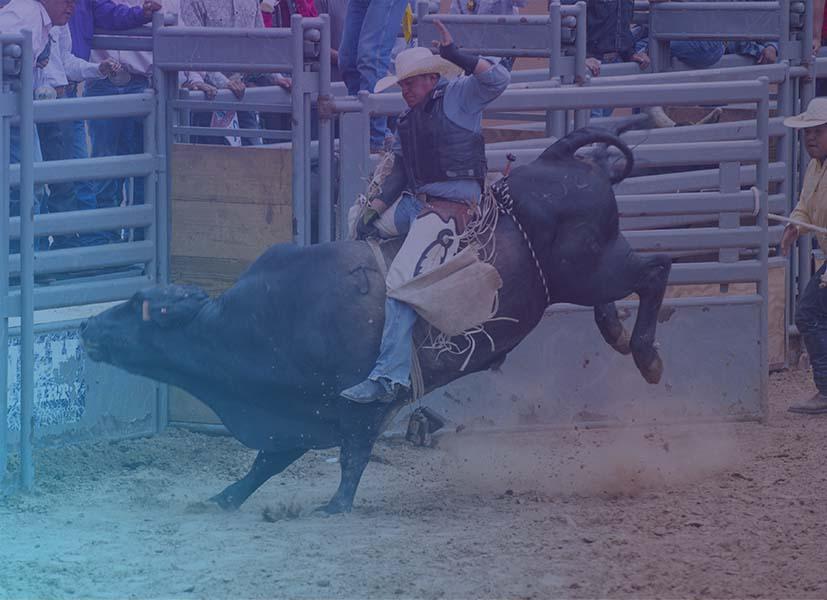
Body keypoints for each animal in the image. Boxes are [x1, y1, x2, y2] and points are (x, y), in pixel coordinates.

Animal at [80, 128, 671, 514]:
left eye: (138, 307)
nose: (86, 329)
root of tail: (555, 158)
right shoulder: (297, 413)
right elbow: (265, 463)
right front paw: (222, 498)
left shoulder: (354, 410)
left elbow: (350, 457)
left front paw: (334, 506)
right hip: (591, 273)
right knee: (624, 290)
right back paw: (618, 333)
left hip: (593, 267)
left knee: (656, 270)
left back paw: (647, 355)